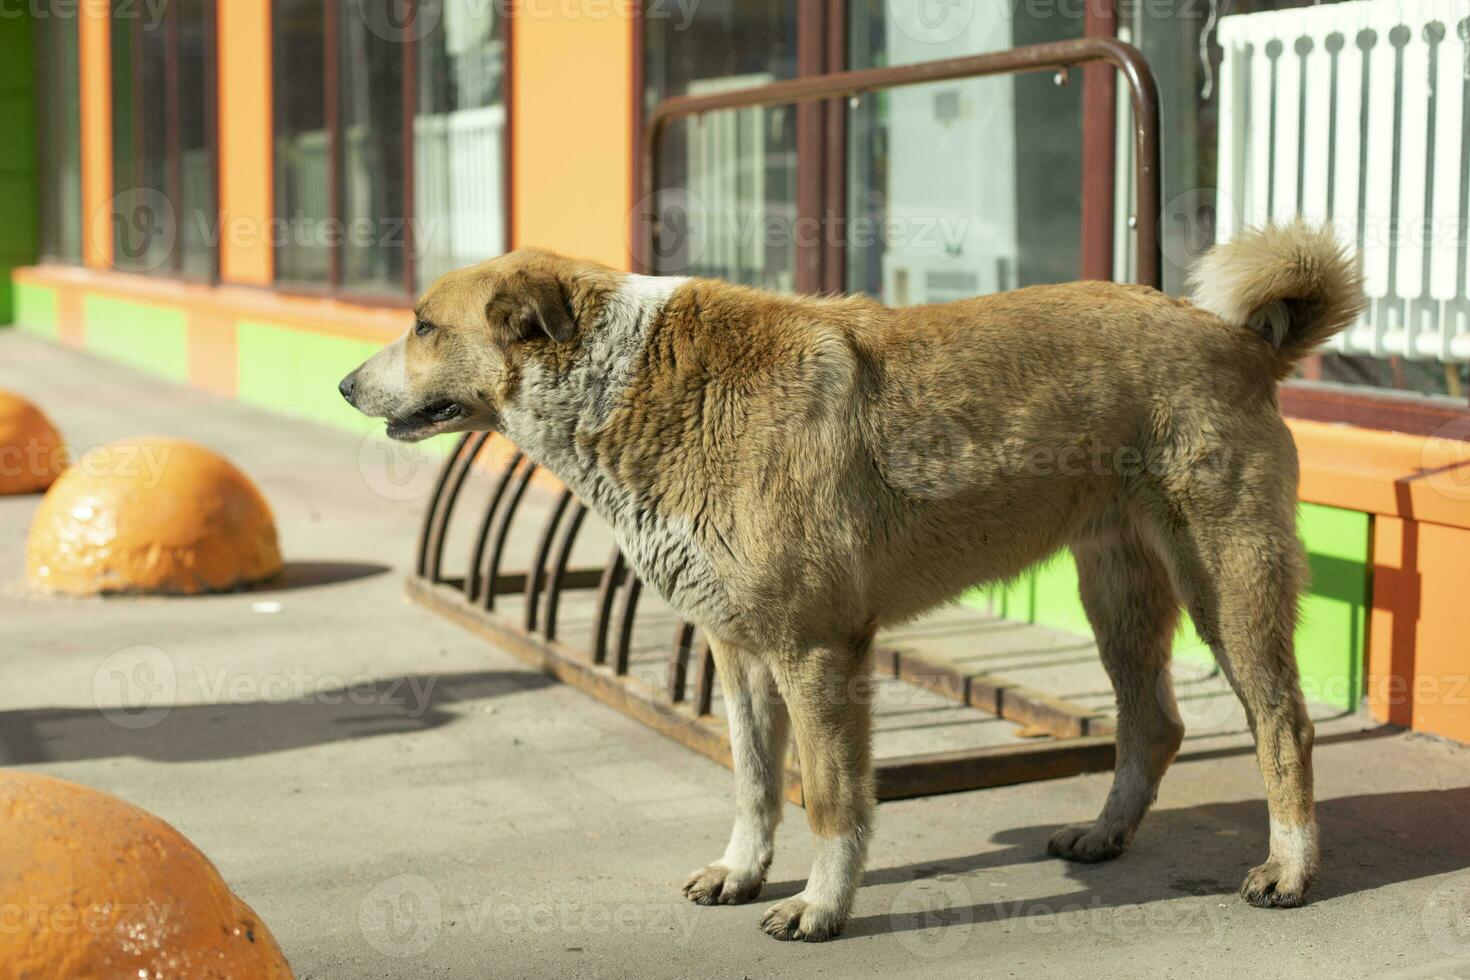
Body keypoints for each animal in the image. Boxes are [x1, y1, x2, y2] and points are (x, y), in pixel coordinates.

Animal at [341, 221, 1364, 940]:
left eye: (423, 326)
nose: (347, 386)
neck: (627, 381)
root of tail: (1242, 341)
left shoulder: (817, 651)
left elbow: (830, 798)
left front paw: (821, 909)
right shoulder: (738, 653)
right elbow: (755, 782)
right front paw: (742, 870)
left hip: (1228, 587)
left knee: (1285, 724)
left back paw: (1290, 871)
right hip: (1115, 590)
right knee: (1154, 724)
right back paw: (1104, 836)